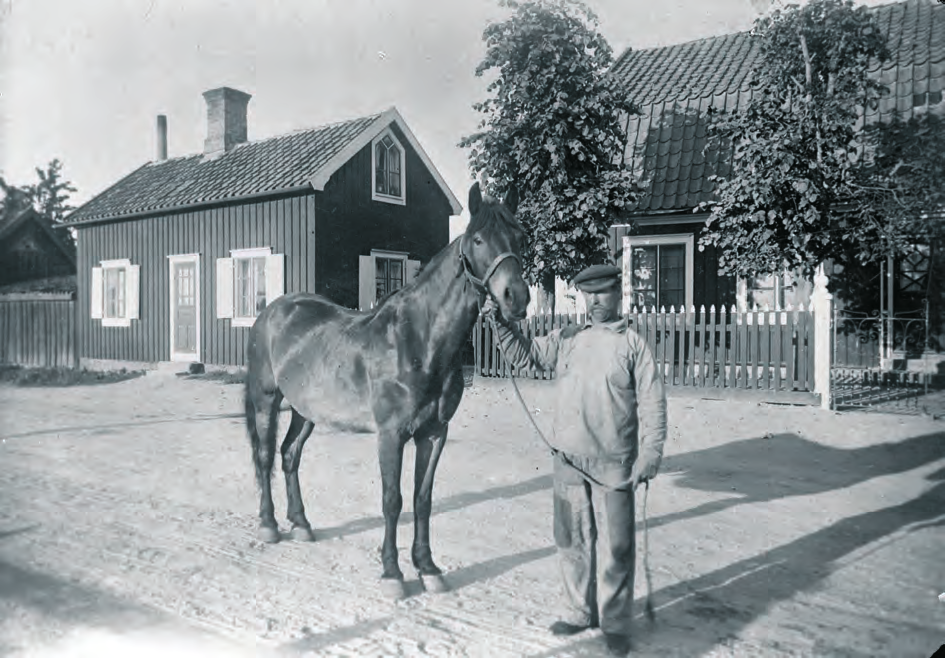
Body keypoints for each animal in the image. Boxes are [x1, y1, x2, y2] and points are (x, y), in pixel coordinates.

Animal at [242, 182, 532, 596]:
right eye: (478, 239)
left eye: (520, 237)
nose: (516, 298)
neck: (418, 340)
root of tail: (273, 310)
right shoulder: (391, 435)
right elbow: (392, 500)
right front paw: (393, 573)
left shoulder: (434, 433)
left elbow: (422, 499)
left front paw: (428, 568)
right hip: (267, 398)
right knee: (266, 457)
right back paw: (269, 525)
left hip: (305, 409)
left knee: (289, 455)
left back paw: (301, 524)